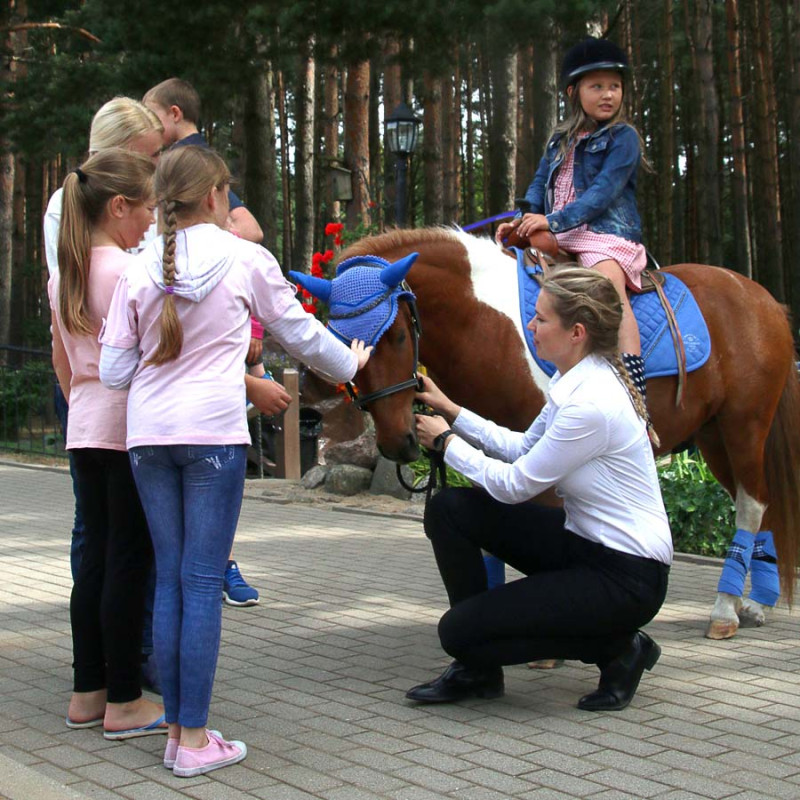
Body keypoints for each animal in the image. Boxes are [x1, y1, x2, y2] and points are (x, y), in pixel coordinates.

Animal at [340, 225, 800, 636]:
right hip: (712, 435)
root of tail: (764, 300)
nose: (396, 442)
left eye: (399, 336)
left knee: (752, 505)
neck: (487, 323)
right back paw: (755, 604)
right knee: (761, 503)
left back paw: (725, 610)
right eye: (345, 346)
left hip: (744, 425)